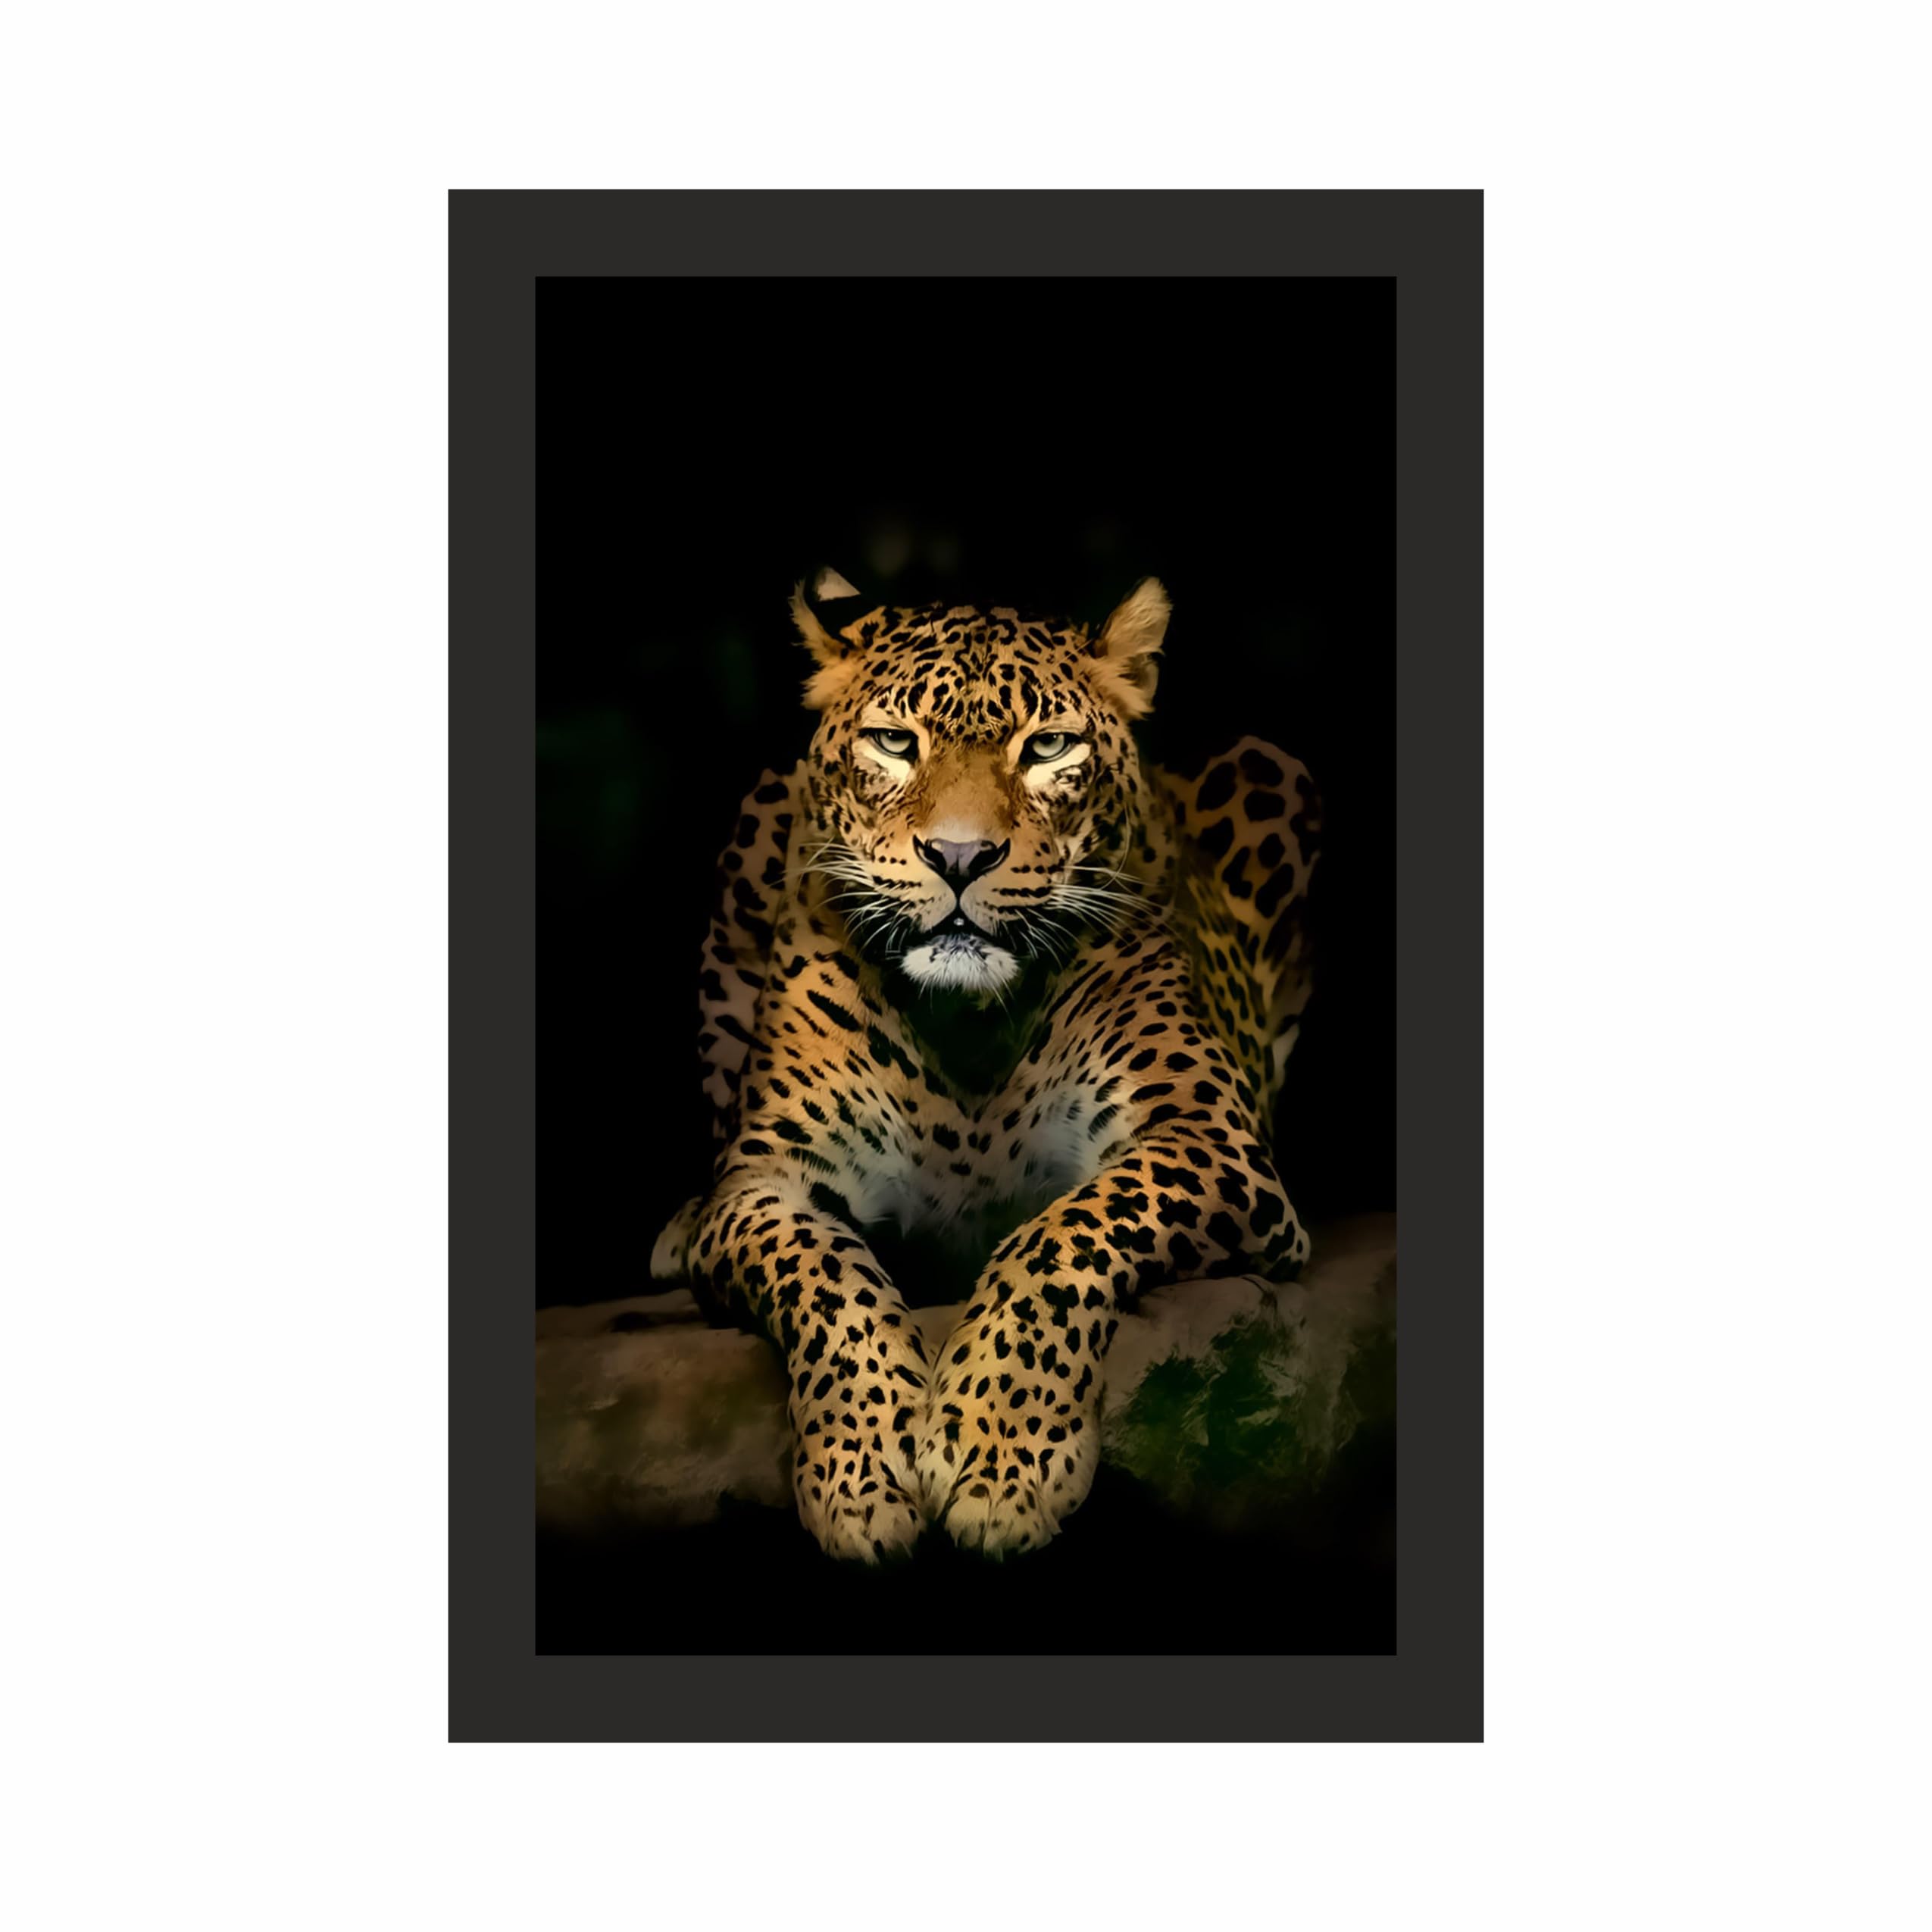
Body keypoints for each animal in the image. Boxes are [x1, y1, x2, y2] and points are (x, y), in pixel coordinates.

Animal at [650, 568, 1322, 1562]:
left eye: (1047, 747)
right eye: (896, 742)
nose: (960, 857)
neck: (965, 1025)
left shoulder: (1207, 1137)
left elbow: (1061, 1237)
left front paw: (1001, 1460)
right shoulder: (768, 1181)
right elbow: (824, 1276)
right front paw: (863, 1473)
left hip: (1272, 770)